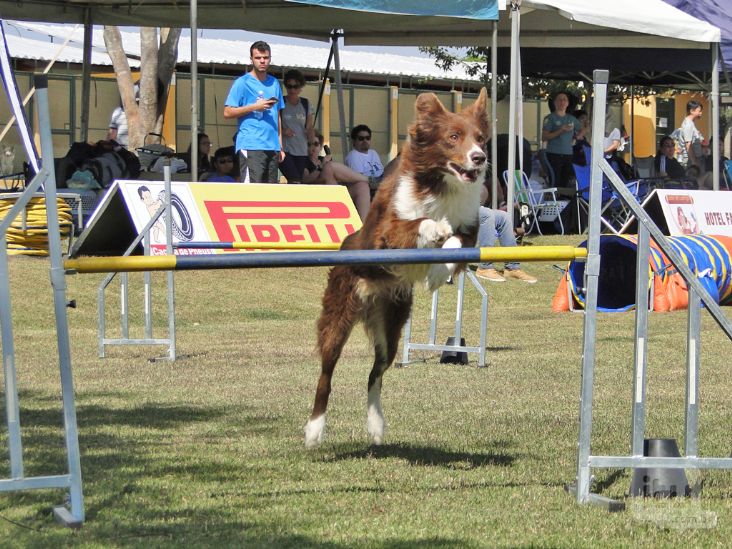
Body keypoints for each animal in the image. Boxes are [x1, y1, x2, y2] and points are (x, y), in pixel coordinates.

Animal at [306, 88, 488, 448]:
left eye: (480, 138)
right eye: (453, 137)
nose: (479, 158)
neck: (441, 186)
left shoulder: (471, 230)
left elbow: (456, 243)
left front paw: (437, 272)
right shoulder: (385, 232)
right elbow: (419, 222)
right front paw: (434, 228)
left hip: (391, 325)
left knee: (374, 375)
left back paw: (376, 425)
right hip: (338, 315)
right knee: (326, 375)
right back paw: (314, 429)